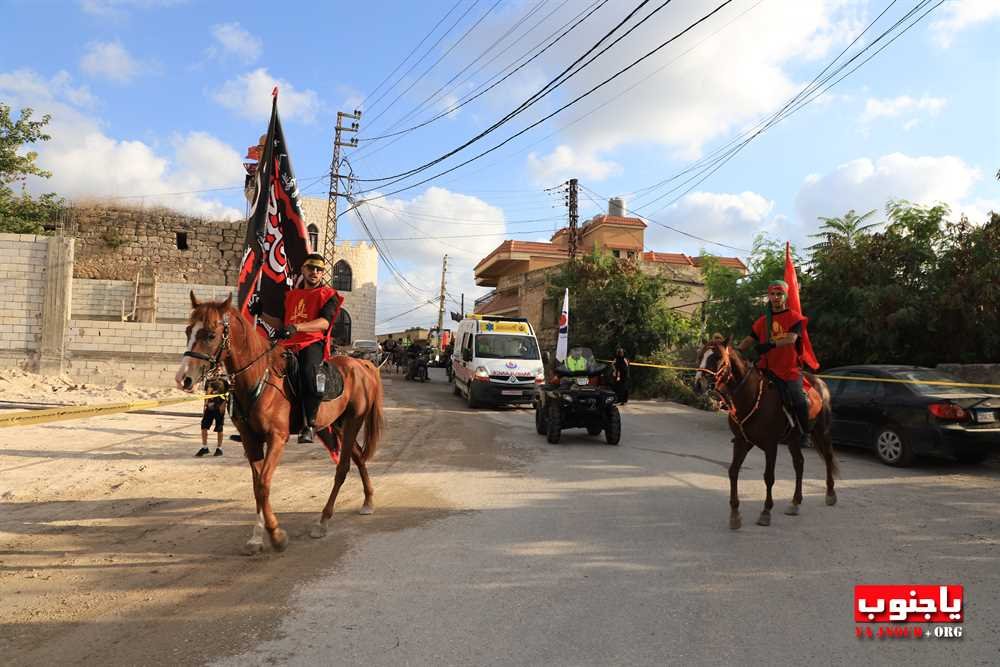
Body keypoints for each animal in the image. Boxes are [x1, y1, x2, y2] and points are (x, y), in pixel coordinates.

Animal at [174, 296, 380, 552]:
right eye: (188, 330)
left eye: (211, 335)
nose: (183, 378)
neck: (259, 377)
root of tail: (361, 365)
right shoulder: (251, 440)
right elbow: (257, 486)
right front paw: (257, 536)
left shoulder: (277, 438)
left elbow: (263, 484)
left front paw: (276, 535)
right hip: (334, 427)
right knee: (359, 457)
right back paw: (368, 501)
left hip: (352, 422)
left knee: (342, 468)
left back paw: (323, 521)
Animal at [708, 342, 840, 528]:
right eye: (701, 355)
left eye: (718, 358)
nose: (700, 383)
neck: (752, 397)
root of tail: (821, 382)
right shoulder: (742, 441)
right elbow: (733, 471)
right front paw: (735, 515)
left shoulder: (770, 445)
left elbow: (768, 477)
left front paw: (766, 512)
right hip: (793, 438)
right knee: (799, 463)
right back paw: (795, 502)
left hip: (822, 430)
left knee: (828, 457)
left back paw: (830, 494)